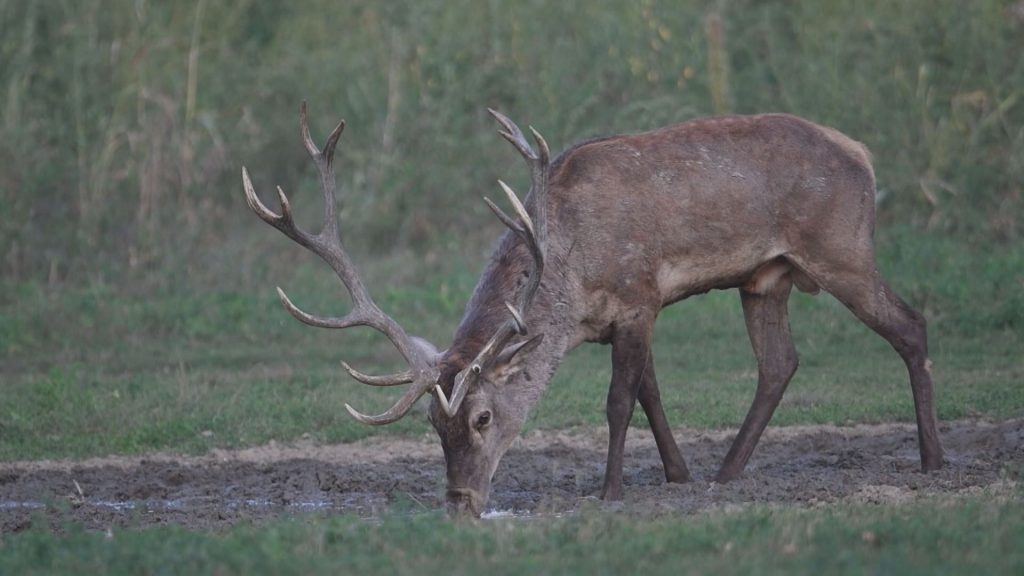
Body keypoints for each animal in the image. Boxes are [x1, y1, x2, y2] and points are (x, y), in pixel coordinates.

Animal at [239, 103, 942, 516]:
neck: (570, 283)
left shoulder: (637, 298)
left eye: (483, 417)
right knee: (780, 363)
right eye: (433, 425)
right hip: (765, 279)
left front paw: (610, 492)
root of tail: (863, 154)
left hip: (841, 247)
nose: (461, 501)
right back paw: (726, 473)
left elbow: (619, 401)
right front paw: (679, 476)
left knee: (911, 324)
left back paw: (933, 460)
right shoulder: (620, 320)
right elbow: (652, 392)